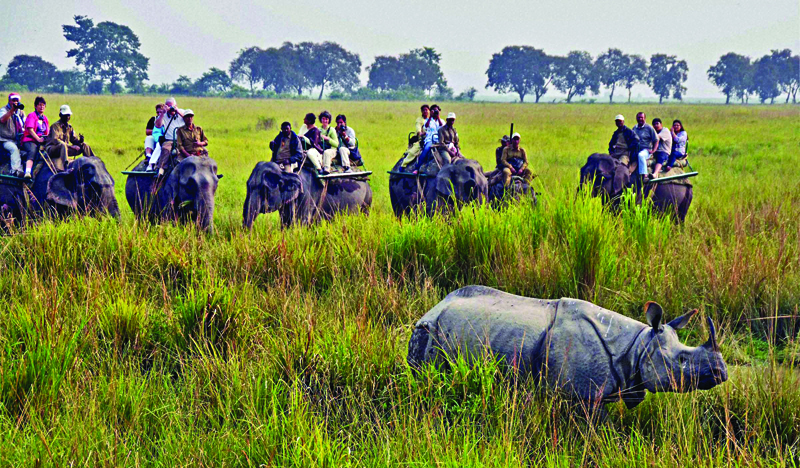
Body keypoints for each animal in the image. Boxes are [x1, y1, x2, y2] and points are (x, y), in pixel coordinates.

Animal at [242, 161, 374, 229]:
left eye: (264, 189)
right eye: (247, 186)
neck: (284, 171)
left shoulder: (305, 196)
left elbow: (301, 224)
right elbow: (285, 223)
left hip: (367, 201)